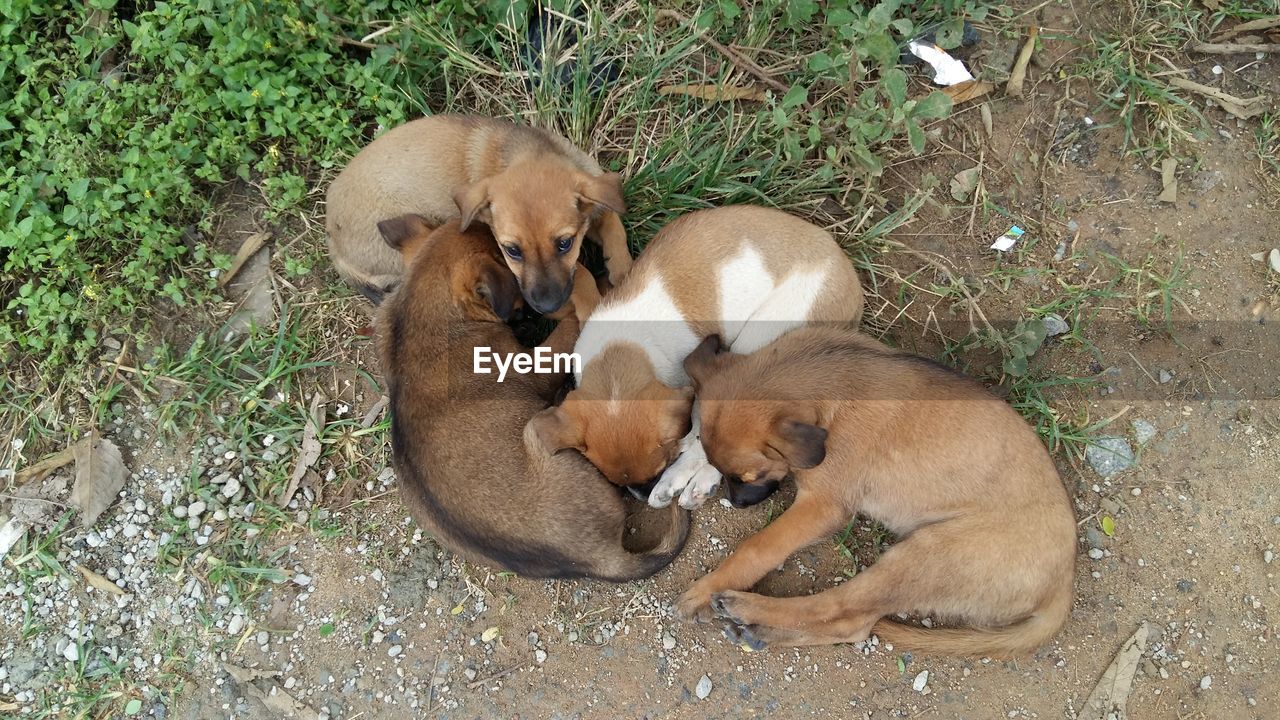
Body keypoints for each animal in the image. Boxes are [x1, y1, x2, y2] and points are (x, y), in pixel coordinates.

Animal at [327, 113, 632, 307]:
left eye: (565, 243)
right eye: (512, 251)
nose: (547, 307)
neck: (530, 151)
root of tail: (333, 245)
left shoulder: (595, 195)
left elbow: (613, 221)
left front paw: (622, 268)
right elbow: (582, 272)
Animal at [378, 215, 691, 579]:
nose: (539, 306)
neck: (417, 313)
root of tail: (599, 560)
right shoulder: (535, 366)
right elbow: (570, 326)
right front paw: (598, 285)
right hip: (539, 429)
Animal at [524, 202, 865, 507]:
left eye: (657, 469)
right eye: (616, 484)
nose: (641, 496)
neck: (618, 350)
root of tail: (854, 285)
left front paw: (676, 472)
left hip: (758, 338)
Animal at [675, 327, 1075, 653]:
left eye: (749, 475)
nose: (736, 503)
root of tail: (1062, 583)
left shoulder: (823, 506)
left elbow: (758, 547)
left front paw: (708, 587)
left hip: (925, 555)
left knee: (841, 609)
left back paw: (744, 606)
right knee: (854, 625)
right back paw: (762, 632)